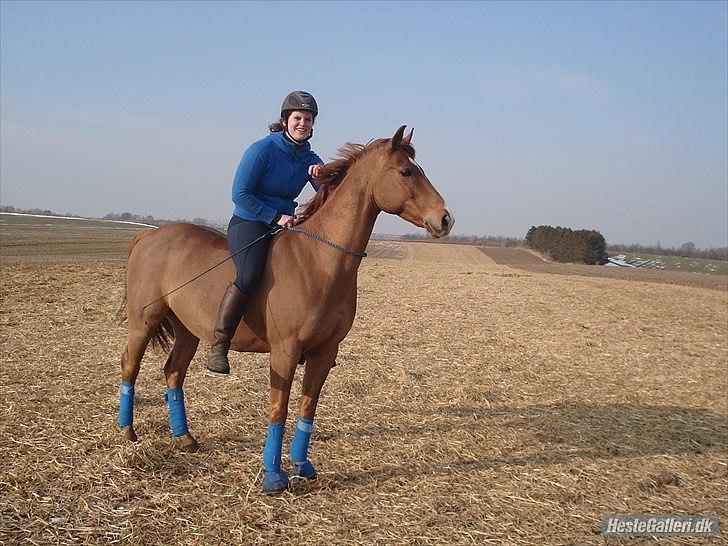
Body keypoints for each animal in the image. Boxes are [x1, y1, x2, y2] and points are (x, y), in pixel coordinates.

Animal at [117, 125, 452, 490]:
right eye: (406, 172)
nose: (445, 219)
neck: (320, 261)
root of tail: (149, 237)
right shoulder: (285, 352)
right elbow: (278, 410)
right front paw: (274, 476)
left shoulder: (324, 353)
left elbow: (307, 409)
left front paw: (302, 466)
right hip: (144, 323)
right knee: (130, 366)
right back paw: (127, 432)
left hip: (188, 330)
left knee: (173, 372)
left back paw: (185, 438)